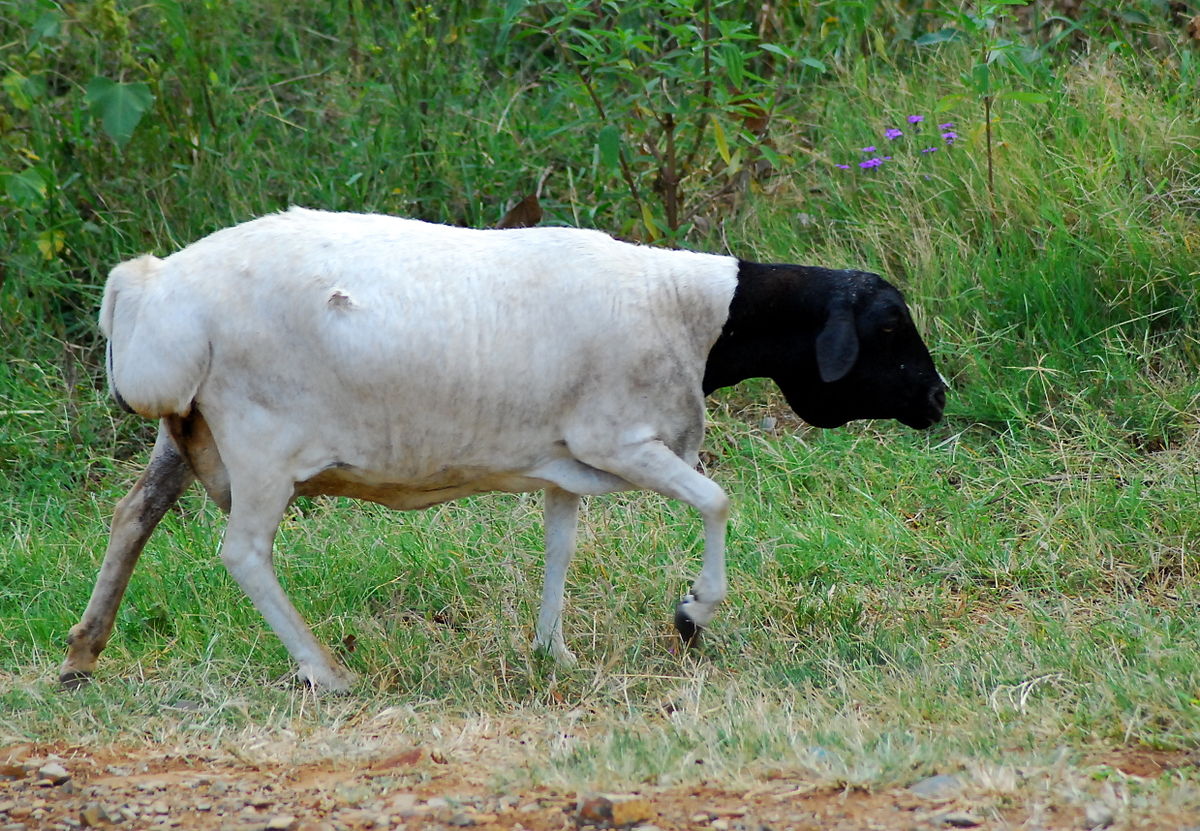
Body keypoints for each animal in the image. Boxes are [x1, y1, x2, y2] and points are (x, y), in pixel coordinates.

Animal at [60, 208, 945, 696]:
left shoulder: (565, 457)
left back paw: (82, 653)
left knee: (131, 517)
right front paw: (693, 613)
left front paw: (556, 653)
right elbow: (717, 500)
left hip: (185, 432)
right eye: (890, 326)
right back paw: (326, 670)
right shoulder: (620, 438)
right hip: (259, 439)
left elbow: (560, 545)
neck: (691, 315)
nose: (938, 398)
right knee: (243, 552)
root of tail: (149, 287)